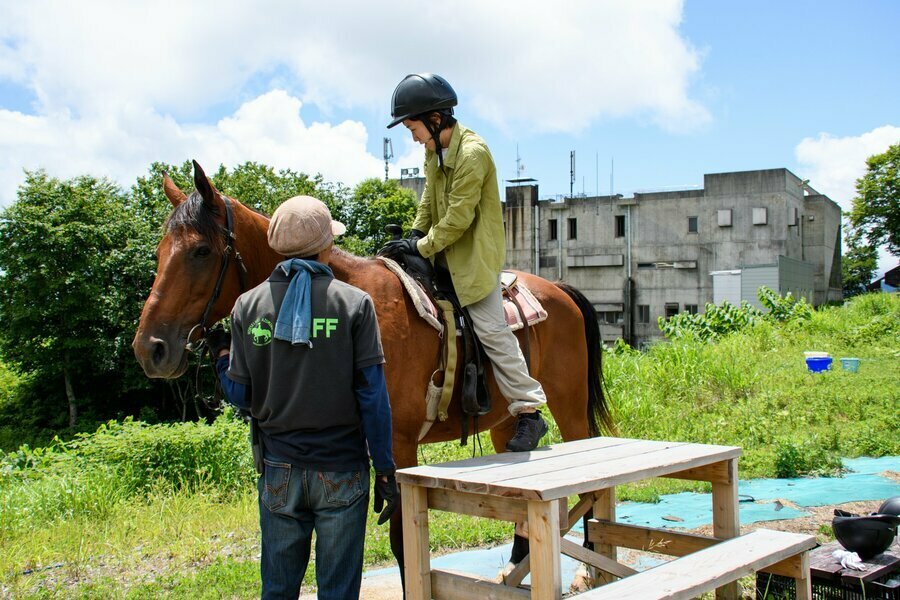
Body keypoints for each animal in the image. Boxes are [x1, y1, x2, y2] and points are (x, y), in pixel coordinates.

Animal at [134, 162, 612, 584]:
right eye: (158, 252)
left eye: (201, 251)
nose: (149, 348)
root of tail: (561, 290)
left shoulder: (397, 446)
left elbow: (403, 542)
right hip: (503, 423)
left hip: (569, 408)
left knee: (591, 481)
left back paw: (591, 570)